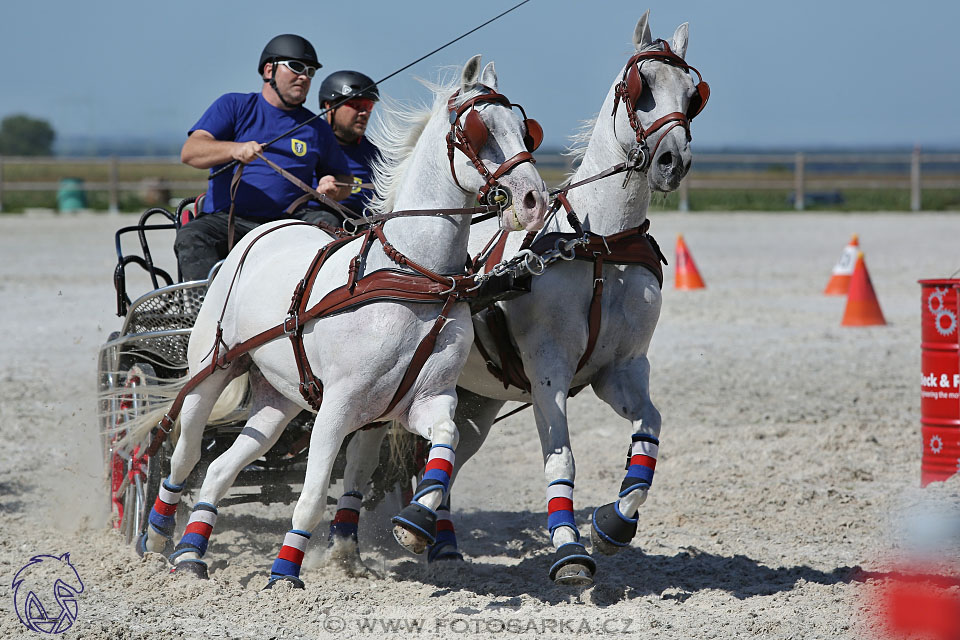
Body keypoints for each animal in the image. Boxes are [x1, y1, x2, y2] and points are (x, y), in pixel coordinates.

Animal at [111, 57, 548, 588]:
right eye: (476, 130)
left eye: (525, 131)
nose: (533, 200)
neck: (415, 278)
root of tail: (262, 229)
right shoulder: (338, 407)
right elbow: (314, 495)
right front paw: (285, 574)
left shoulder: (421, 400)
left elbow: (445, 442)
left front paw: (415, 526)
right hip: (210, 372)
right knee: (183, 453)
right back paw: (156, 537)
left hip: (277, 398)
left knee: (221, 466)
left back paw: (192, 553)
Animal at [334, 11, 708, 592]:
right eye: (640, 87)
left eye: (693, 94)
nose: (672, 161)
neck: (599, 245)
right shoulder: (548, 371)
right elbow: (563, 461)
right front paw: (569, 550)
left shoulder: (621, 369)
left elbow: (650, 431)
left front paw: (613, 523)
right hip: (390, 388)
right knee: (359, 455)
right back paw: (348, 548)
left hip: (476, 401)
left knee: (449, 455)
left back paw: (436, 537)